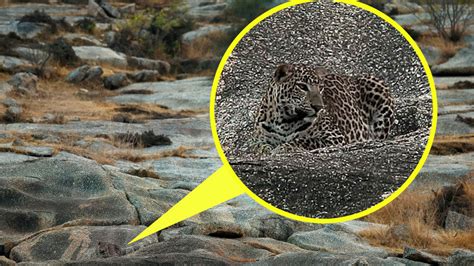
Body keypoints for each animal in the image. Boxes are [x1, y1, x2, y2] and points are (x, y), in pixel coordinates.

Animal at [254, 62, 394, 150]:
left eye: (321, 88)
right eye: (302, 87)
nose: (318, 107)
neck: (284, 120)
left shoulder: (335, 137)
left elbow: (305, 140)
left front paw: (283, 148)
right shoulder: (260, 138)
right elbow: (259, 146)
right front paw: (265, 150)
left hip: (376, 85)